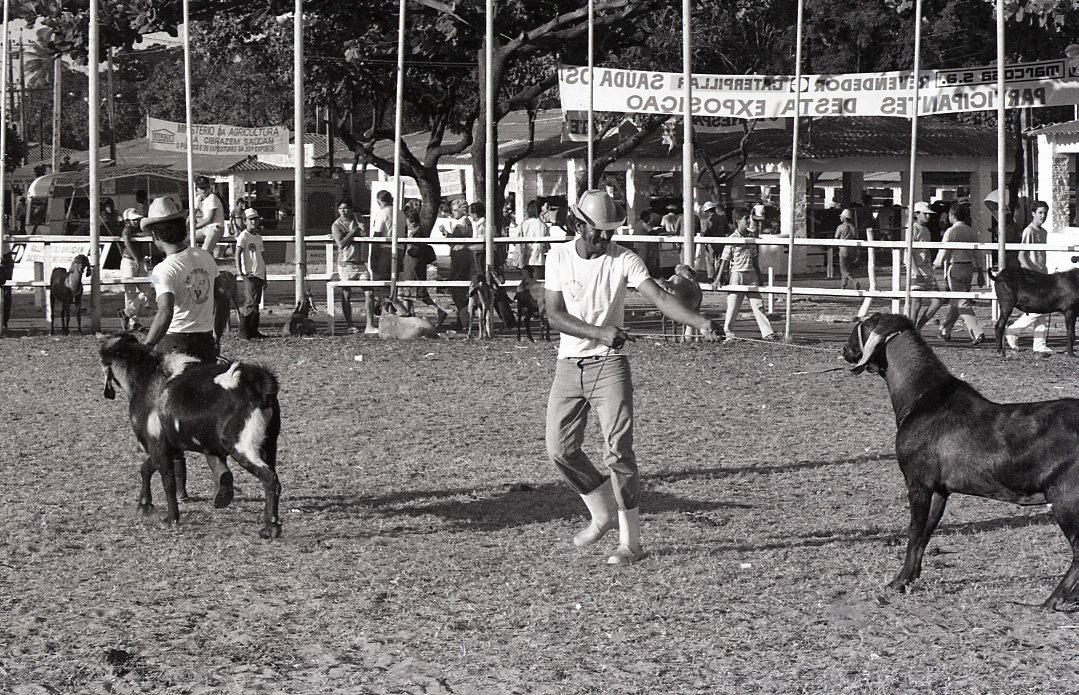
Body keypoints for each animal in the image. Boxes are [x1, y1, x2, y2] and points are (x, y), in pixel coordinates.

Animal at [841, 312, 1079, 612]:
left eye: (860, 327)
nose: (845, 350)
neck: (923, 396)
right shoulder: (940, 489)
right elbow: (926, 533)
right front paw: (911, 578)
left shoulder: (917, 482)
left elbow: (914, 531)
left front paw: (898, 582)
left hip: (1066, 496)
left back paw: (1054, 598)